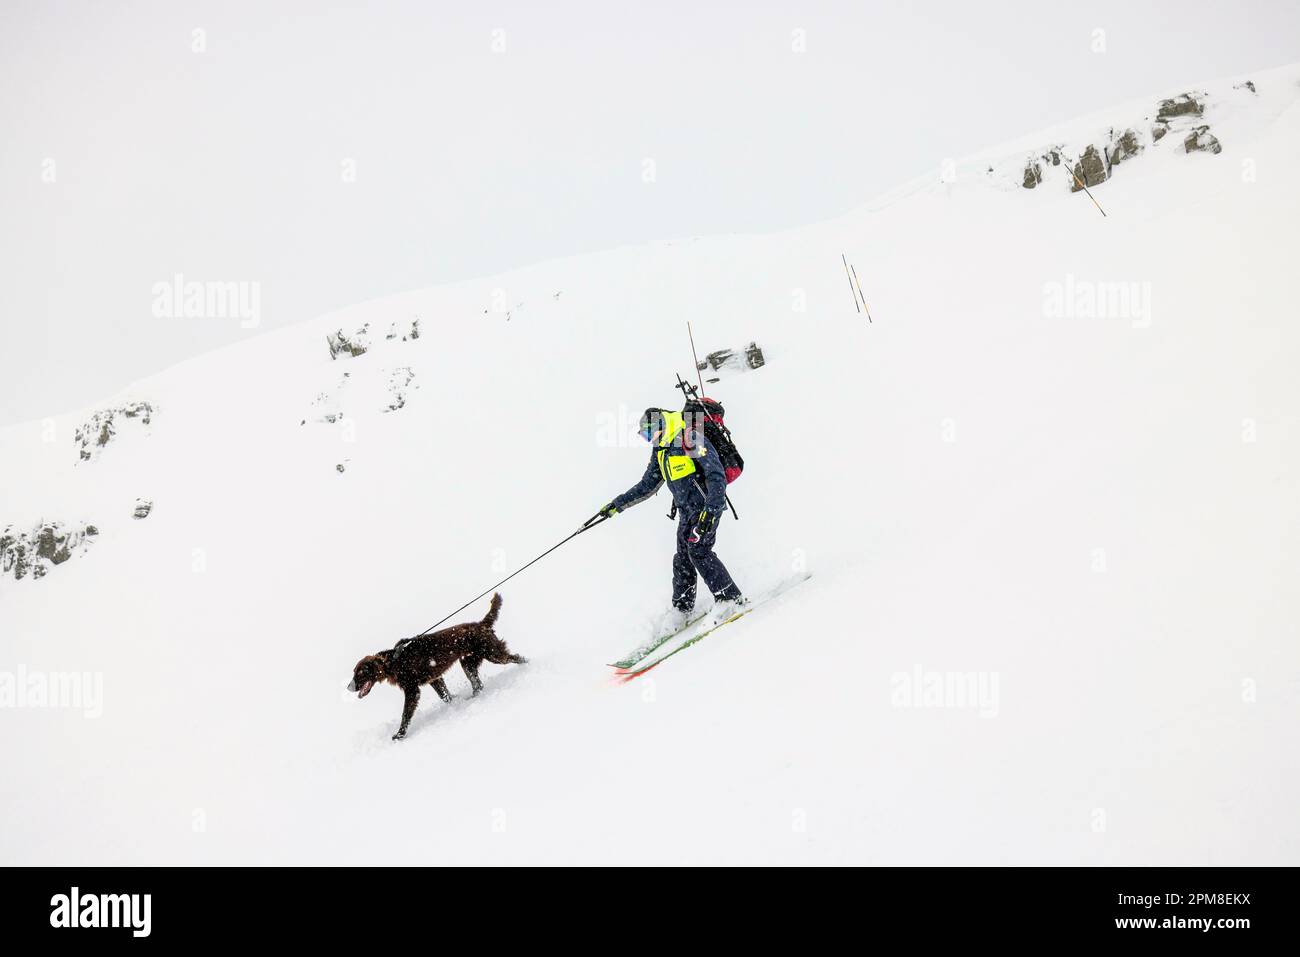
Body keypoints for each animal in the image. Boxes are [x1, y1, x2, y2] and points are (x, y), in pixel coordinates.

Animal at [351, 590, 527, 738]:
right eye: (354, 672)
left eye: (360, 673)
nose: (349, 687)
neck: (394, 661)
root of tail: (481, 624)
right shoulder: (434, 679)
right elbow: (445, 696)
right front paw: (454, 703)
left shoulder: (412, 690)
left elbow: (405, 714)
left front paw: (400, 734)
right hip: (468, 663)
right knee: (478, 684)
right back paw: (473, 697)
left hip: (493, 654)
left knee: (515, 657)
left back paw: (528, 665)